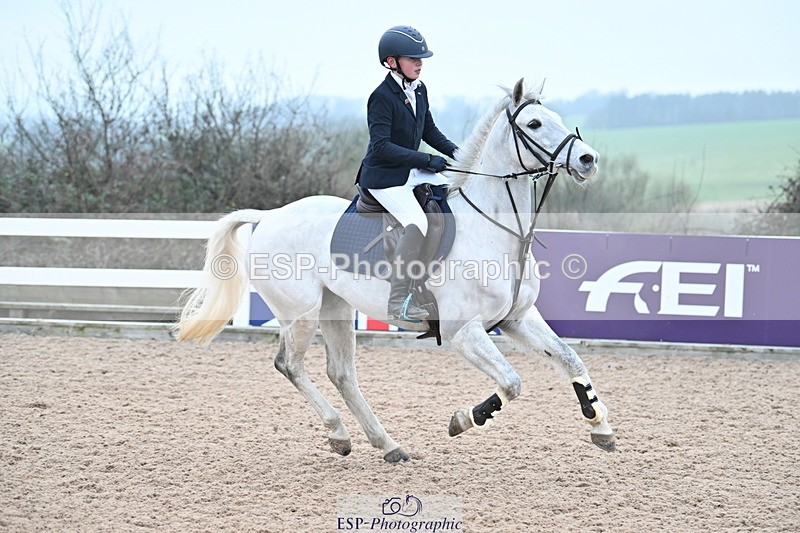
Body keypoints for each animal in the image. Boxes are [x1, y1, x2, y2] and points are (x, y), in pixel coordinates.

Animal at [175, 78, 616, 462]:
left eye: (556, 116)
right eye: (534, 124)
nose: (588, 159)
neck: (494, 229)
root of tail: (268, 216)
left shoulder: (517, 319)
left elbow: (571, 360)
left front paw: (601, 427)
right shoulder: (463, 331)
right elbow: (511, 382)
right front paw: (464, 420)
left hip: (336, 308)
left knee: (341, 373)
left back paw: (387, 445)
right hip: (300, 313)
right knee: (291, 365)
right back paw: (339, 434)